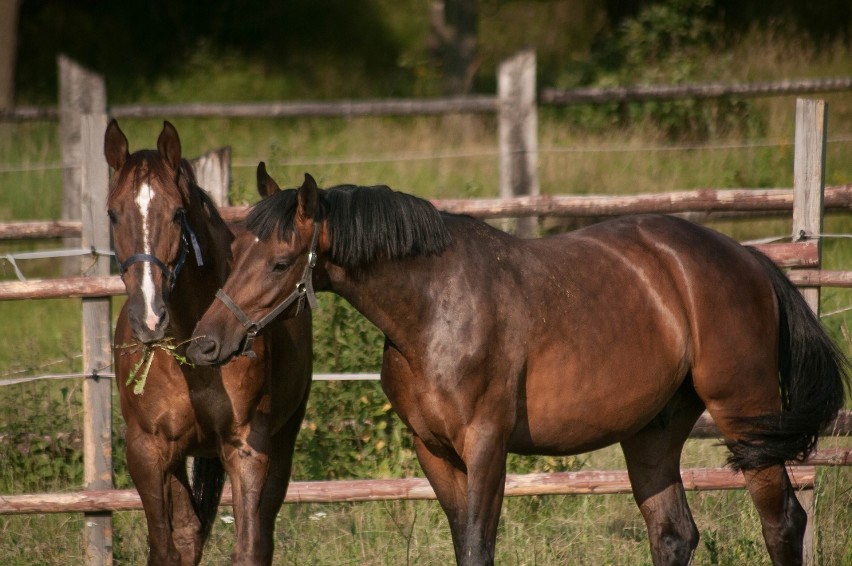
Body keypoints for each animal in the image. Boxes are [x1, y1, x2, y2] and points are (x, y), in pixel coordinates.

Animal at [105, 122, 312, 564]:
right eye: (113, 213)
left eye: (177, 214)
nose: (149, 318)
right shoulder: (146, 452)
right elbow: (167, 547)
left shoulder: (247, 449)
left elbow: (249, 547)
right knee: (187, 533)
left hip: (283, 441)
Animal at [186, 172, 844, 566]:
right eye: (233, 252)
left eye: (279, 263)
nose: (205, 345)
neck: (435, 306)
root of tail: (749, 260)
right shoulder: (435, 451)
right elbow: (464, 545)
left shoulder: (485, 445)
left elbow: (479, 547)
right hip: (651, 433)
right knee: (674, 533)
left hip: (745, 418)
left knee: (783, 522)